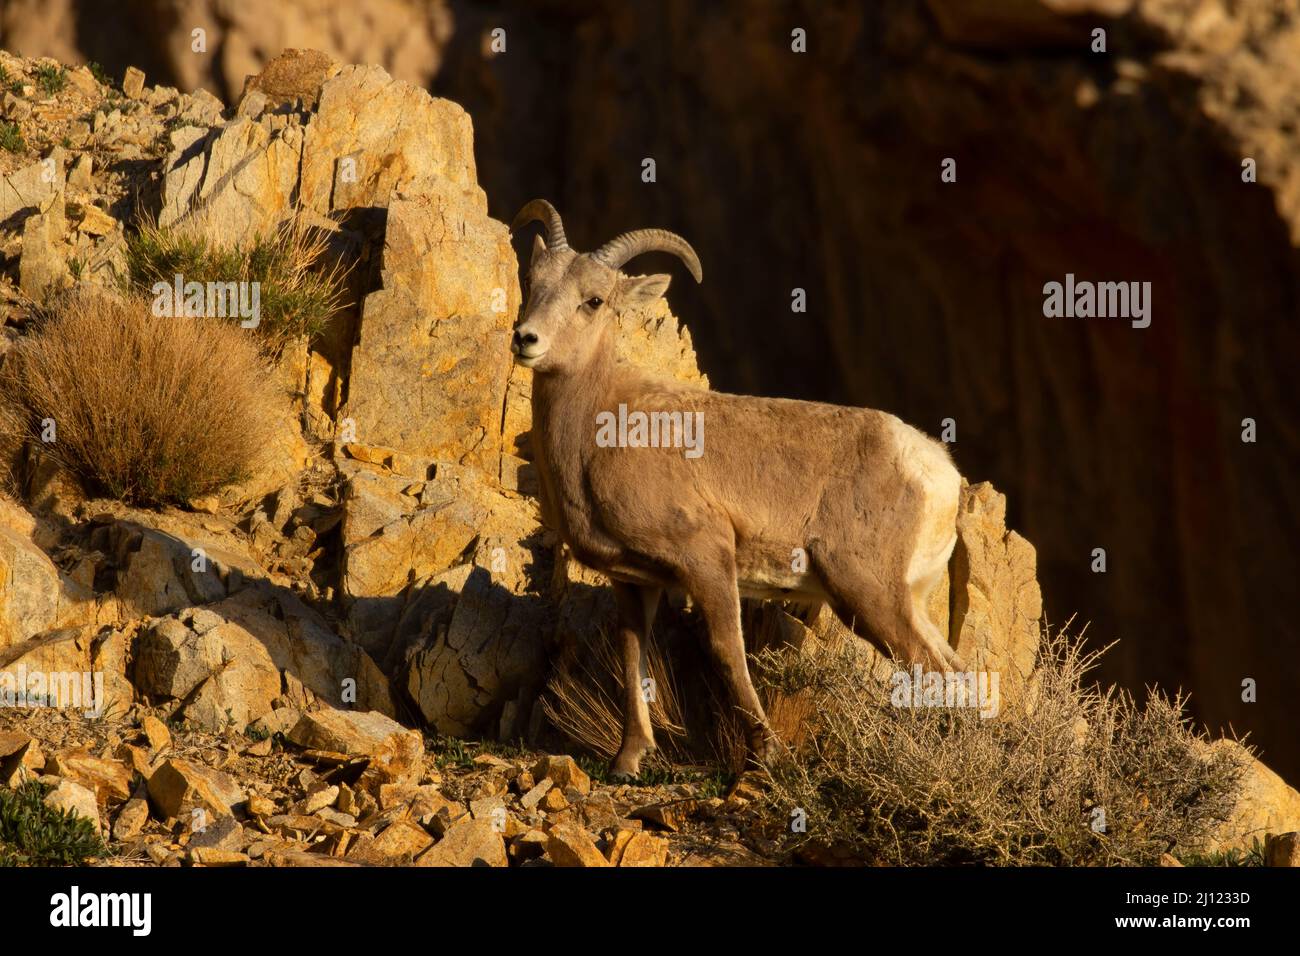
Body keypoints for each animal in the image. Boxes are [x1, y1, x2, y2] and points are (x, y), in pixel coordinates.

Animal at [512, 200, 961, 780]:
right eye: (531, 281)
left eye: (593, 300)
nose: (526, 339)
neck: (604, 426)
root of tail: (939, 473)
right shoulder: (633, 582)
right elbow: (632, 655)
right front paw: (628, 760)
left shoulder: (708, 559)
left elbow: (728, 650)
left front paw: (764, 754)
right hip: (906, 602)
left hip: (869, 596)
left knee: (934, 670)